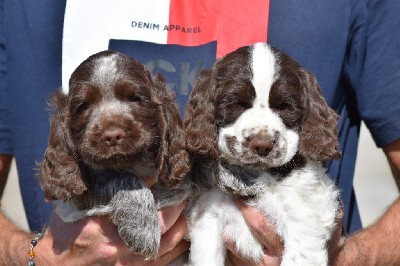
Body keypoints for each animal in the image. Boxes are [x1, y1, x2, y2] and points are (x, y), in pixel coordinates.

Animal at [38, 51, 191, 258]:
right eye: (83, 106)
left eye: (135, 98)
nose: (112, 135)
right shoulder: (78, 196)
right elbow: (122, 177)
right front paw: (143, 228)